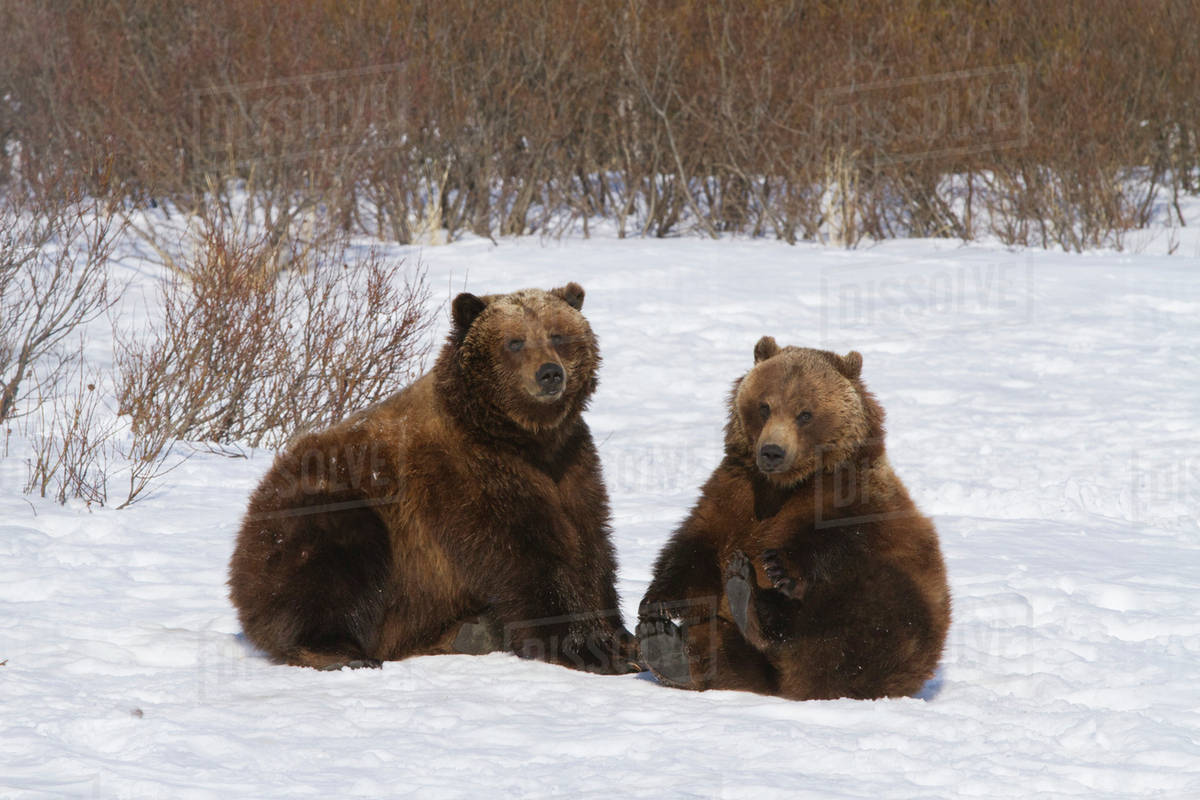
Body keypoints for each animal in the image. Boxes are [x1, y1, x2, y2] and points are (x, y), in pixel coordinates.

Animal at [228, 282, 641, 674]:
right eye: (515, 341)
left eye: (557, 335)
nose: (550, 373)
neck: (525, 438)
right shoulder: (468, 478)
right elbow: (529, 557)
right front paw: (590, 649)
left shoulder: (571, 466)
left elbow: (590, 545)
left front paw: (622, 639)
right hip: (326, 509)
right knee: (332, 564)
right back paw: (339, 652)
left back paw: (471, 631)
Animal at [636, 337, 950, 700]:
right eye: (765, 406)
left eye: (805, 413)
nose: (772, 451)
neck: (784, 487)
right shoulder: (734, 492)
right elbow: (696, 546)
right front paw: (656, 605)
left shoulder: (851, 499)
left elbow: (832, 543)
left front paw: (776, 565)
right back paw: (667, 646)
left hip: (907, 601)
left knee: (862, 622)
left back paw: (750, 598)